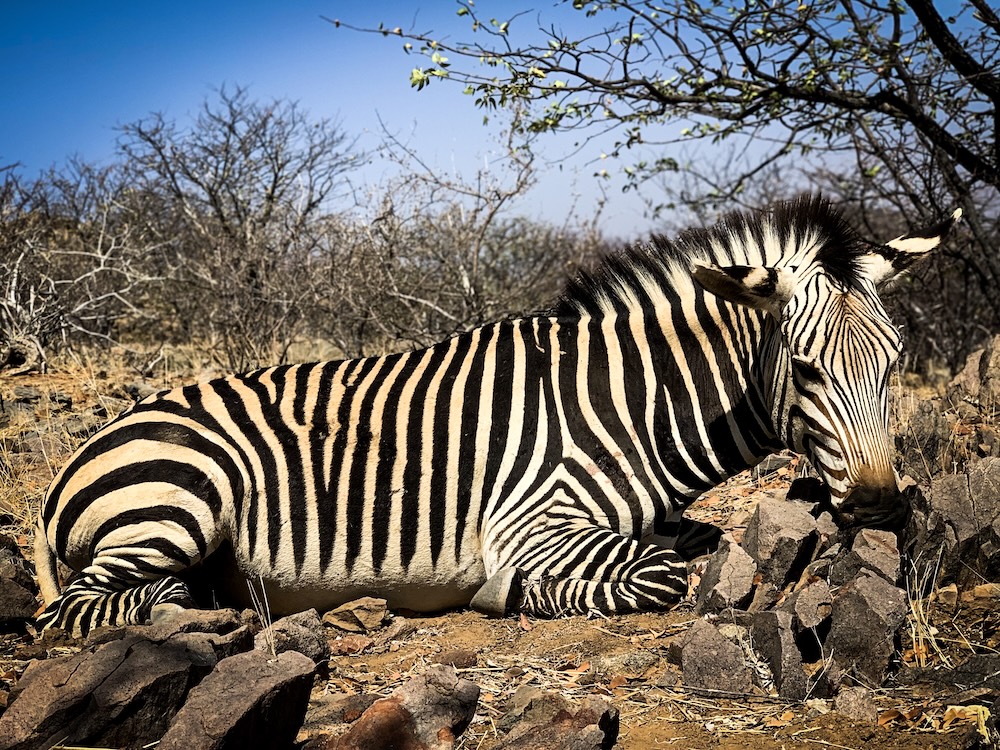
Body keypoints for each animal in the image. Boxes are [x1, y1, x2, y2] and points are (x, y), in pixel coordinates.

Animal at [34, 196, 960, 636]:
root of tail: (80, 457)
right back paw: (194, 608)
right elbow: (658, 573)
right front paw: (513, 596)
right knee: (77, 608)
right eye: (805, 369)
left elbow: (691, 542)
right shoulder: (531, 522)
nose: (882, 508)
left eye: (894, 364)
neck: (631, 403)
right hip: (182, 499)